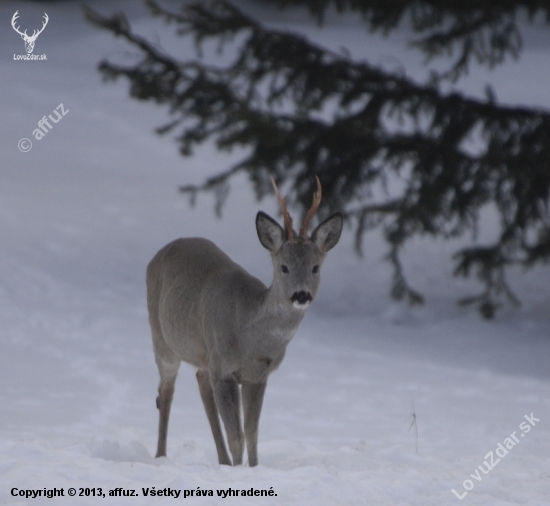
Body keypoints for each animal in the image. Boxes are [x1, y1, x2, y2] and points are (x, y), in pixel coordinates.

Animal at [148, 178, 344, 466]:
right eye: (284, 267)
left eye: (315, 268)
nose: (301, 295)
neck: (251, 338)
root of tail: (159, 254)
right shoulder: (224, 367)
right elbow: (237, 436)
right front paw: (239, 471)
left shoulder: (257, 375)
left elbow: (251, 432)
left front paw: (252, 468)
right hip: (162, 338)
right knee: (166, 392)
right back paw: (161, 456)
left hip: (203, 352)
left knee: (201, 382)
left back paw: (222, 460)